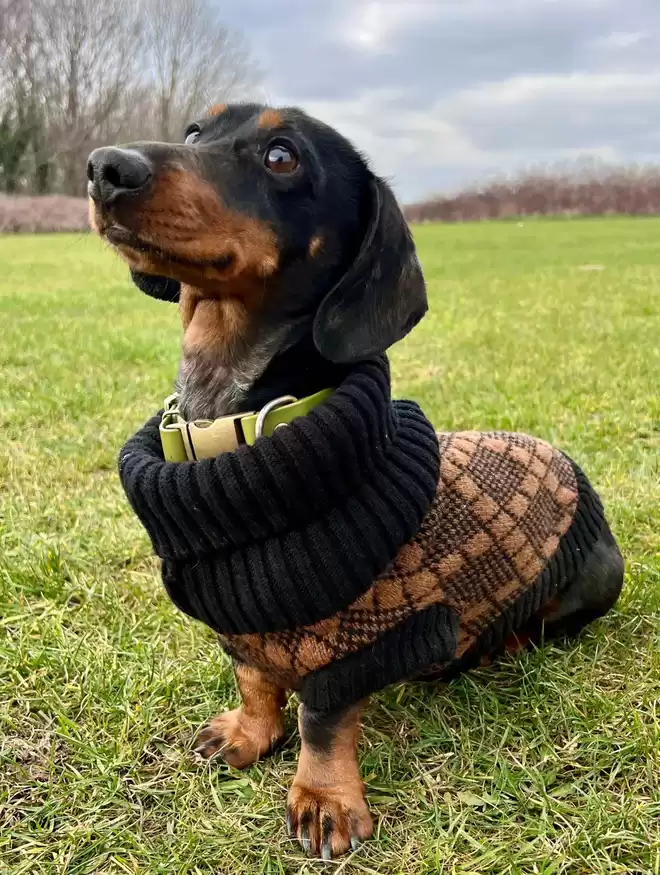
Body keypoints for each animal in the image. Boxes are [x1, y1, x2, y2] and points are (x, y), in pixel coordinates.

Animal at [87, 104, 624, 864]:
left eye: (283, 156)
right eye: (194, 132)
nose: (105, 166)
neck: (236, 423)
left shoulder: (343, 645)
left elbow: (322, 719)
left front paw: (324, 797)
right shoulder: (243, 626)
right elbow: (254, 677)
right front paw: (248, 732)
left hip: (593, 581)